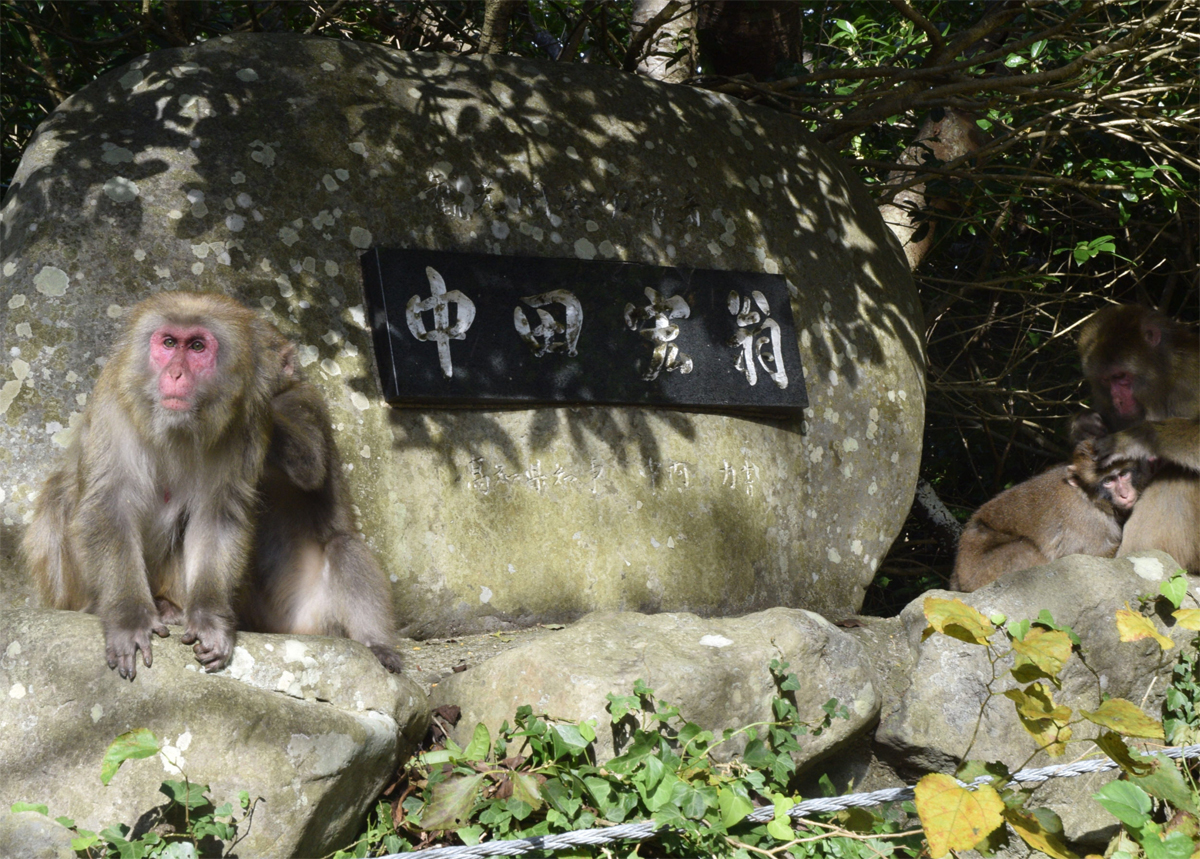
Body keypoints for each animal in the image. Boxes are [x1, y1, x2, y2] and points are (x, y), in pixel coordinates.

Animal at [22, 292, 290, 679]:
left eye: (197, 347)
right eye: (168, 343)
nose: (174, 373)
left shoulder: (248, 422)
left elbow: (218, 515)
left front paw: (210, 619)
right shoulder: (113, 402)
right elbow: (109, 504)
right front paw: (128, 619)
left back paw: (171, 608)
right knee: (59, 495)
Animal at [241, 375, 405, 673]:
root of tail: (286, 631)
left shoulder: (305, 401)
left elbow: (310, 466)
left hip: (321, 614)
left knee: (344, 546)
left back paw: (376, 643)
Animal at [949, 441, 1148, 593]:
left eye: (1123, 474)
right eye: (1108, 481)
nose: (1125, 494)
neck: (1087, 496)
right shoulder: (1087, 520)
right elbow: (1091, 554)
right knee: (1026, 550)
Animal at [1074, 305, 1199, 572]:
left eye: (1121, 376)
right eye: (1106, 380)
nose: (1118, 400)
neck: (1165, 381)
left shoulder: (1192, 378)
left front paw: (1136, 438)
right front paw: (1083, 425)